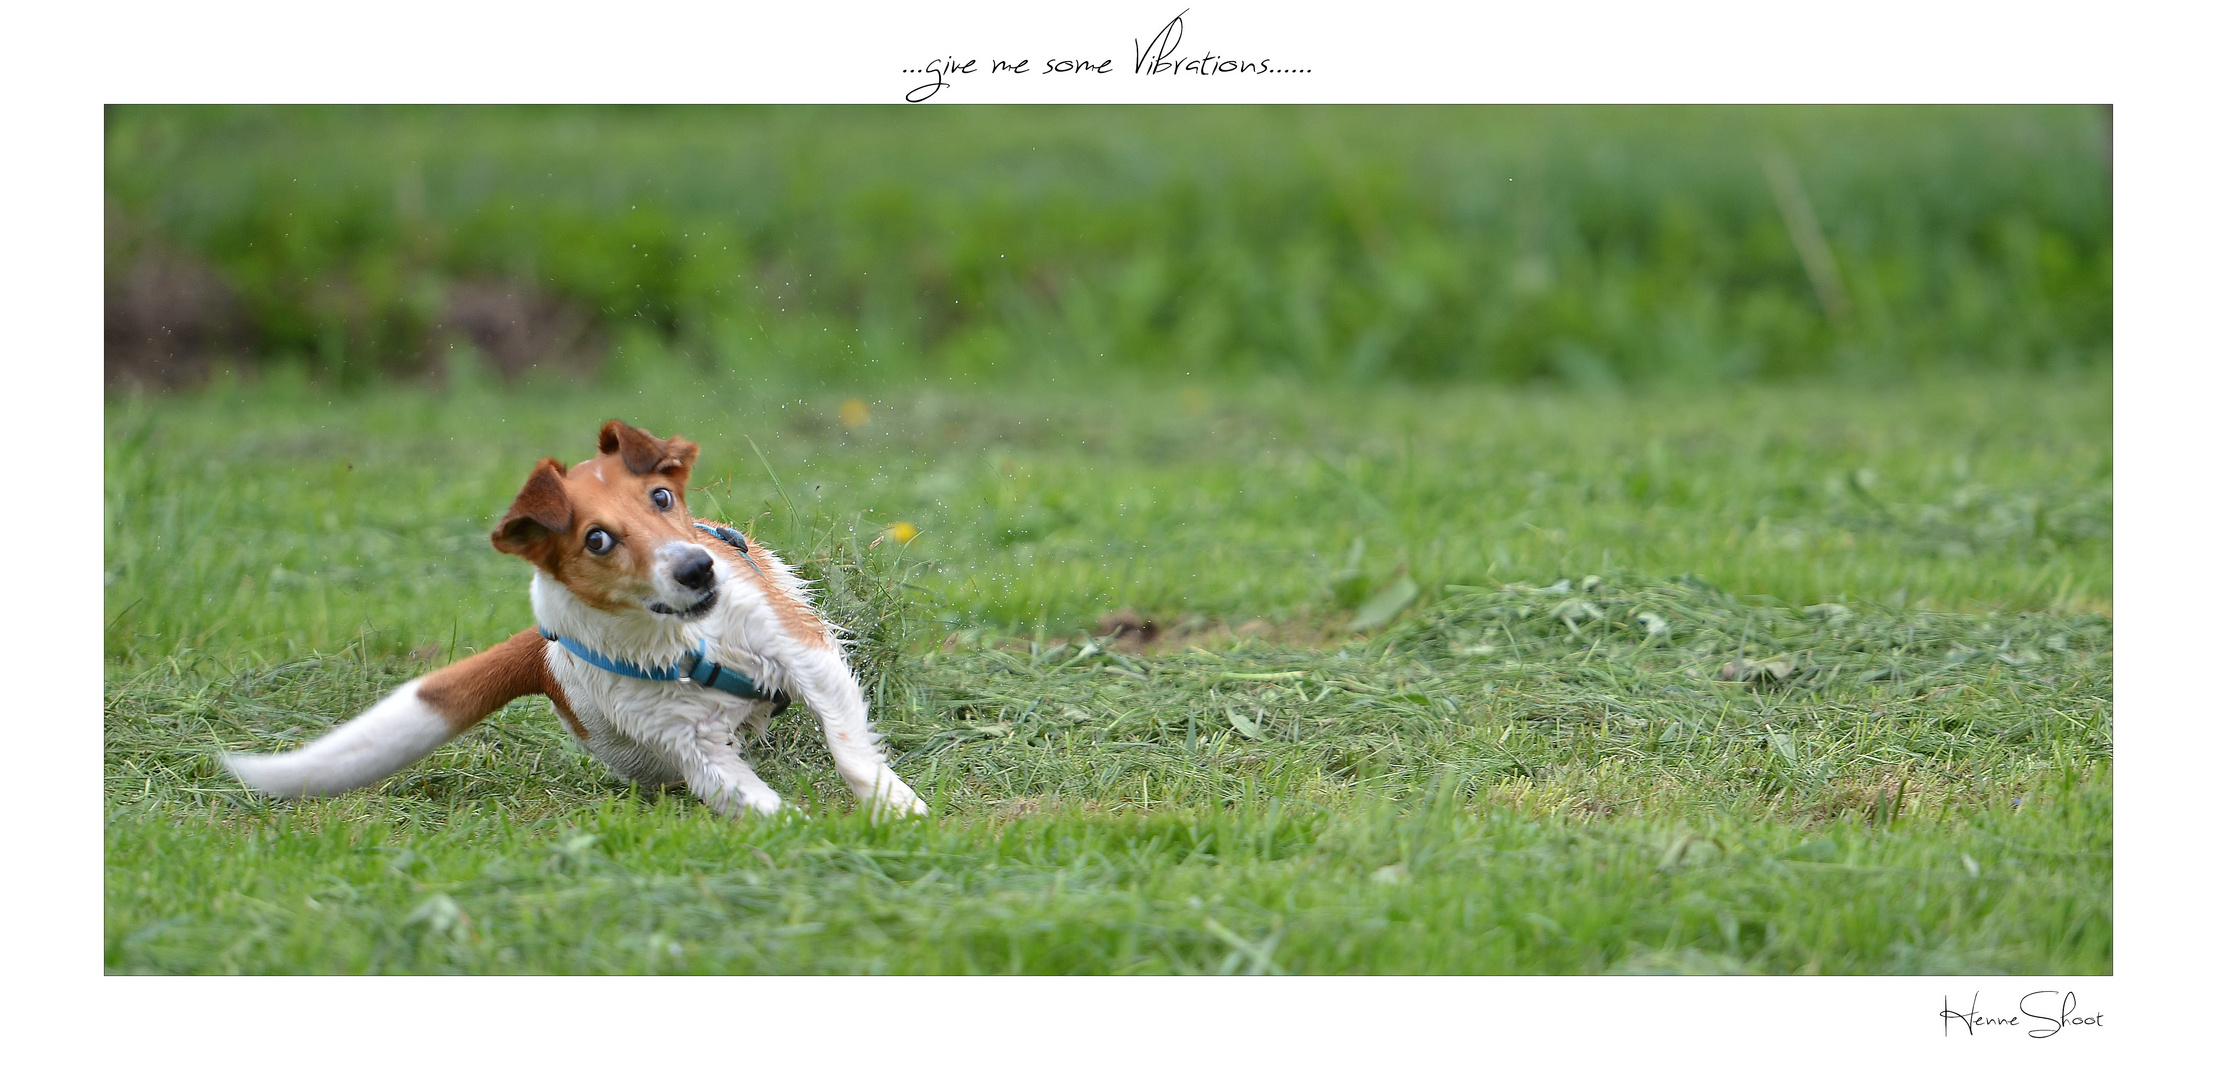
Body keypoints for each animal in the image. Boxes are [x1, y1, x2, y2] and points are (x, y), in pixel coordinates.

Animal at [218, 421, 926, 820]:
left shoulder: (804, 655)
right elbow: (750, 798)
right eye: (597, 540)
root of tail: (540, 650)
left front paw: (898, 810)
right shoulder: (689, 745)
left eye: (661, 497)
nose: (699, 569)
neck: (684, 641)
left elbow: (850, 748)